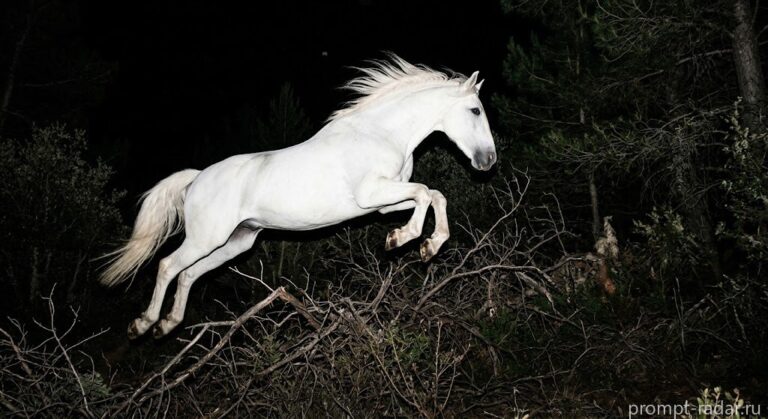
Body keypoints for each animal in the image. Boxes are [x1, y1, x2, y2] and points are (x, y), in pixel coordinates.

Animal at [100, 55, 497, 339]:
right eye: (475, 110)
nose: (489, 160)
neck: (381, 133)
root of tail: (197, 178)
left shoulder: (382, 203)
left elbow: (433, 196)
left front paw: (426, 244)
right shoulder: (371, 193)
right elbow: (426, 193)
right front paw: (405, 239)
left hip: (236, 242)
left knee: (188, 275)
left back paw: (168, 324)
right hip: (206, 237)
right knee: (168, 266)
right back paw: (144, 324)